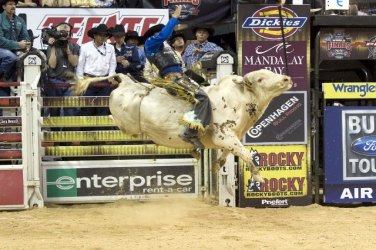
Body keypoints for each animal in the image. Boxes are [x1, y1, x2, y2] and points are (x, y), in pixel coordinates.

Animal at [72, 69, 292, 183]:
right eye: (260, 78)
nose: (286, 78)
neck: (240, 98)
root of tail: (126, 82)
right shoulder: (223, 135)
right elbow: (245, 153)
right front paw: (258, 178)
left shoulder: (230, 138)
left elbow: (230, 152)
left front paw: (217, 165)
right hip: (127, 122)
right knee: (114, 119)